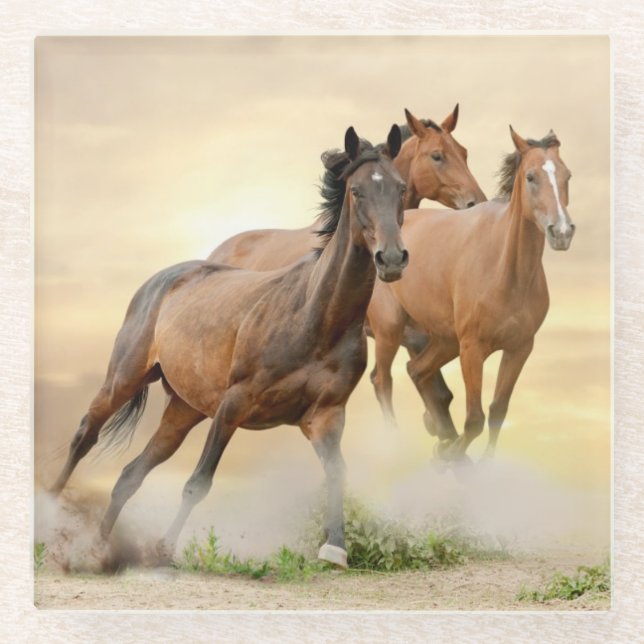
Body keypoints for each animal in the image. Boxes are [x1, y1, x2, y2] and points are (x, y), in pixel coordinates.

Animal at [50, 125, 409, 569]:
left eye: (400, 188)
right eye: (357, 190)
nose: (391, 259)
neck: (314, 317)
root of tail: (164, 278)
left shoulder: (325, 417)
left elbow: (337, 474)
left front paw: (334, 550)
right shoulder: (234, 404)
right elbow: (198, 482)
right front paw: (165, 549)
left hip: (183, 410)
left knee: (131, 474)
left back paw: (100, 549)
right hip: (124, 379)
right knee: (84, 435)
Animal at [374, 126, 575, 460]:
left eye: (567, 175)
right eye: (531, 176)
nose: (561, 232)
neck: (506, 272)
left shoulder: (520, 348)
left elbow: (497, 412)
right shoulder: (472, 349)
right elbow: (475, 420)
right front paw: (450, 455)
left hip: (444, 340)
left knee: (417, 371)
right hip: (389, 329)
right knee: (382, 380)